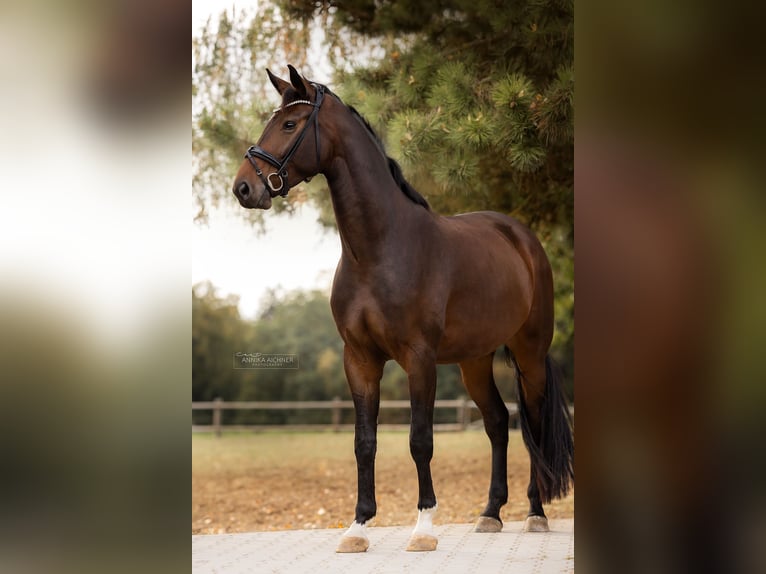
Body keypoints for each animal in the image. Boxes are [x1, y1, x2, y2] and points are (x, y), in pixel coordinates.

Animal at [232, 65, 573, 553]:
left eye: (290, 124)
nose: (244, 187)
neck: (379, 250)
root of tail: (522, 238)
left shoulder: (419, 358)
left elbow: (420, 440)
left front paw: (424, 527)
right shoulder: (359, 359)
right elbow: (364, 442)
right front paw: (358, 527)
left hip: (529, 354)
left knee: (535, 425)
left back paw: (535, 514)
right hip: (475, 360)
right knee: (496, 422)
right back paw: (490, 514)